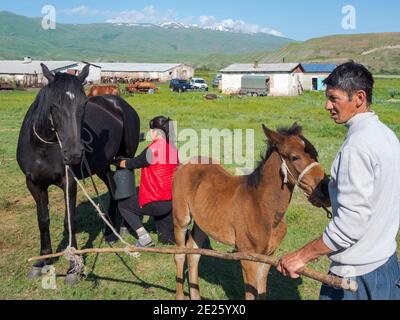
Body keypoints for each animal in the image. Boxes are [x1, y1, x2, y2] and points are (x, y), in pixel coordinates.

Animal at [16, 63, 141, 284]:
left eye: (84, 105)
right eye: (54, 104)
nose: (74, 154)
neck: (43, 148)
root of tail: (120, 104)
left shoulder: (69, 182)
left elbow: (70, 221)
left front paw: (74, 266)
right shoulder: (34, 184)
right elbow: (43, 220)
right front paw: (42, 260)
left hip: (126, 159)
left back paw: (122, 228)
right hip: (102, 166)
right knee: (113, 190)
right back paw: (109, 232)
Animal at [173, 122, 326, 300]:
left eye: (315, 154)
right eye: (294, 157)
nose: (323, 188)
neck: (262, 207)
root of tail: (187, 164)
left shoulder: (267, 257)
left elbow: (261, 291)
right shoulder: (247, 256)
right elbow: (251, 294)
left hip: (202, 223)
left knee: (194, 251)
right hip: (181, 219)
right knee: (180, 253)